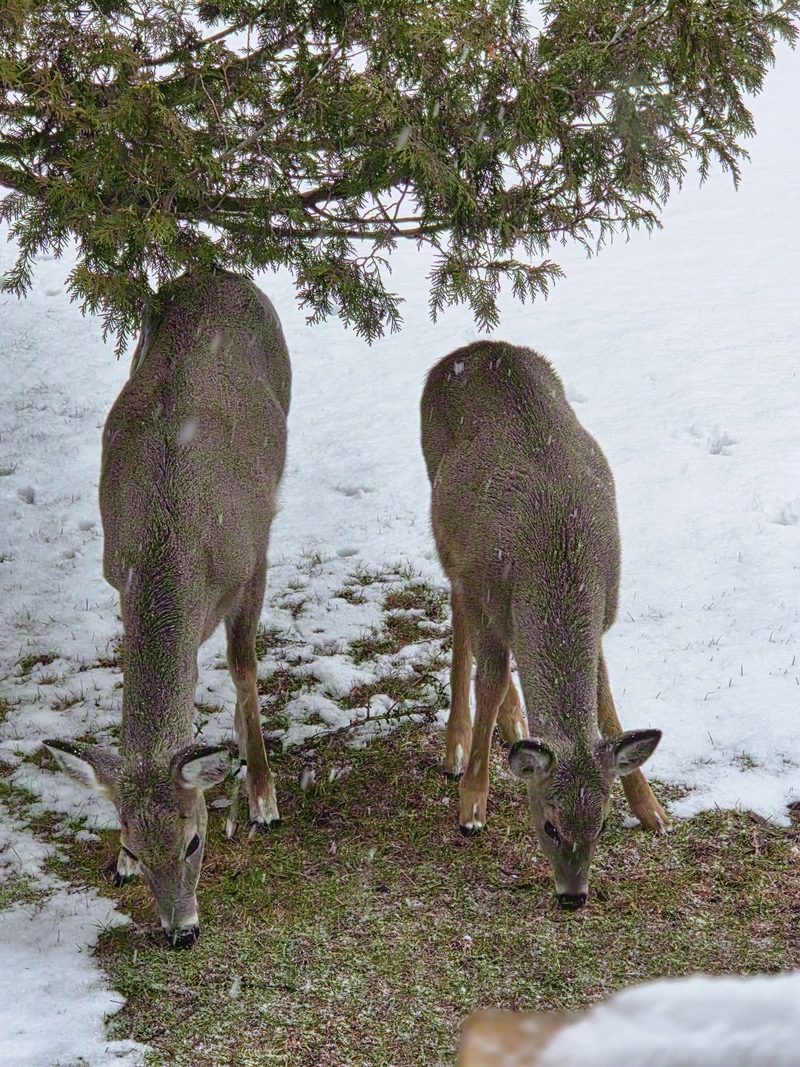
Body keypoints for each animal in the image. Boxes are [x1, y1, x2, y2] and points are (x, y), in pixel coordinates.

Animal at [45, 269, 291, 948]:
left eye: (194, 842)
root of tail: (218, 272)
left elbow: (243, 666)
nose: (180, 932)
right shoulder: (115, 573)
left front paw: (263, 797)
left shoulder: (250, 561)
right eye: (132, 843)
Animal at [420, 340, 668, 908]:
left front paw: (650, 808)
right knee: (458, 614)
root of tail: (472, 349)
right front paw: (472, 805)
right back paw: (457, 745)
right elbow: (488, 683)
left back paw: (518, 725)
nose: (573, 896)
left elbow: (608, 708)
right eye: (549, 825)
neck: (559, 564)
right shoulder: (487, 589)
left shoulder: (605, 612)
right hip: (446, 531)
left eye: (601, 824)